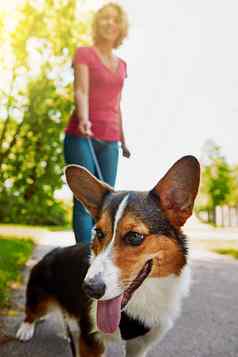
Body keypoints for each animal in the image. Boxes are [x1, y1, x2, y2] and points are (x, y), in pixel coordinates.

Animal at [15, 156, 200, 356]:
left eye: (135, 236)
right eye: (99, 233)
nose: (90, 289)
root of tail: (52, 252)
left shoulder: (140, 345)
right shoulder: (91, 340)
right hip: (39, 297)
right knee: (31, 312)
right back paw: (25, 329)